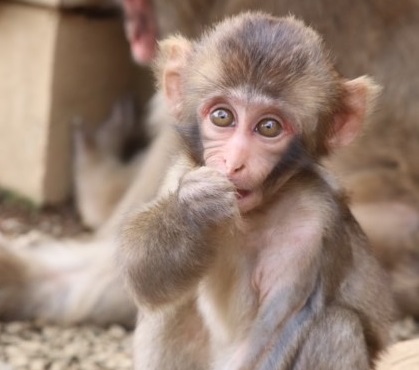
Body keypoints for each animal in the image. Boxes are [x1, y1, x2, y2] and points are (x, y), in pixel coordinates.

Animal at [120, 11, 396, 370]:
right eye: (223, 117)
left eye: (268, 127)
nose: (235, 161)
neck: (252, 215)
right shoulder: (181, 172)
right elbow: (144, 277)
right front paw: (194, 210)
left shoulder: (310, 228)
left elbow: (274, 335)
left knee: (335, 327)